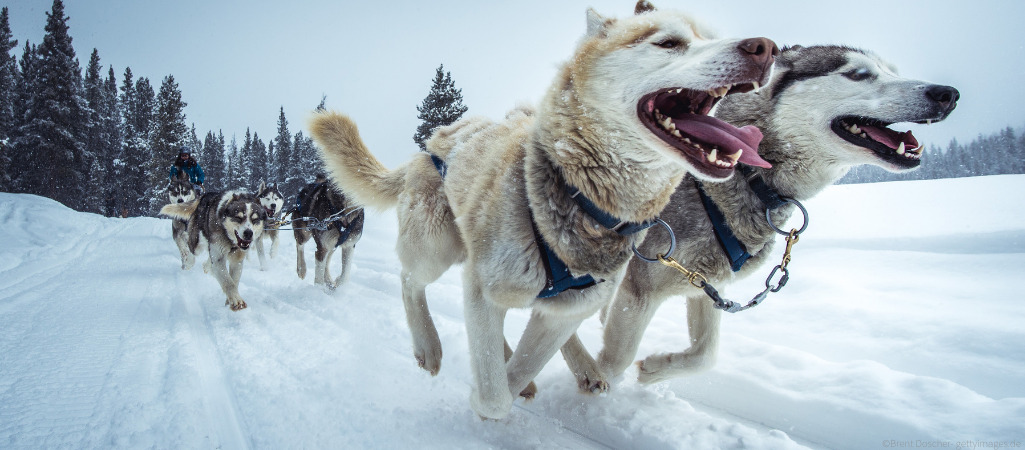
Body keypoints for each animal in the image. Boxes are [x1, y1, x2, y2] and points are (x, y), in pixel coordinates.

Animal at [311, 1, 774, 420]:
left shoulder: (566, 309)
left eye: (711, 36)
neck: (585, 200)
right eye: (668, 42)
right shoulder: (489, 284)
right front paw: (486, 398)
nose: (765, 47)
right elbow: (496, 397)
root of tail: (433, 142)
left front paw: (517, 377)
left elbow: (519, 370)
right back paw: (429, 346)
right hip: (436, 248)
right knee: (410, 281)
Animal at [557, 46, 955, 391]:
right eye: (858, 74)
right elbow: (616, 360)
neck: (749, 175)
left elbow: (706, 355)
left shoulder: (706, 285)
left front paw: (655, 368)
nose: (947, 93)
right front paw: (592, 386)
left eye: (893, 71)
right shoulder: (640, 284)